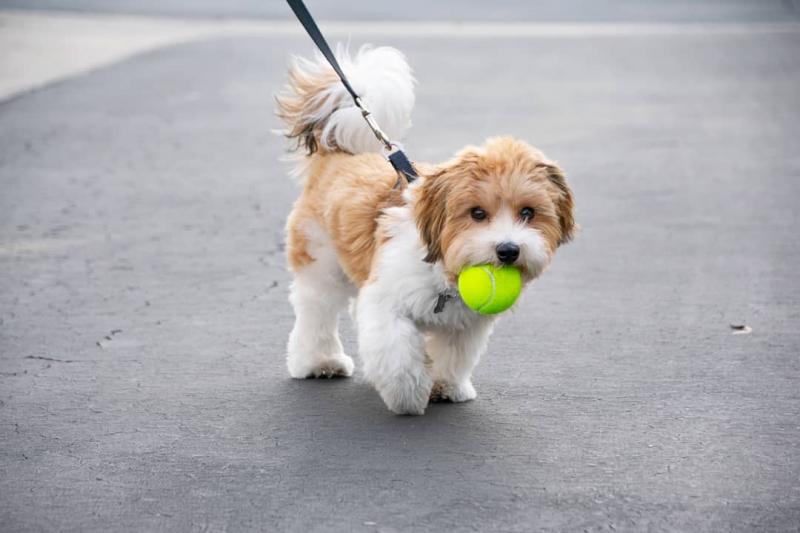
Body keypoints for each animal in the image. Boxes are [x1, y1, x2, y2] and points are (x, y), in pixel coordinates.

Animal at [276, 45, 576, 414]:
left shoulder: (464, 326)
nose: (508, 250)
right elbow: (397, 355)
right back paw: (319, 361)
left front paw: (446, 386)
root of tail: (338, 154)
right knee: (316, 311)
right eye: (478, 213)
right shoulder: (385, 302)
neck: (444, 272)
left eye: (528, 213)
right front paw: (407, 394)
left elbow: (453, 356)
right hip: (321, 263)